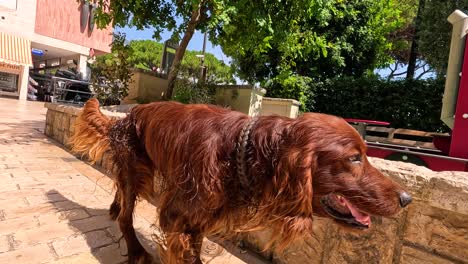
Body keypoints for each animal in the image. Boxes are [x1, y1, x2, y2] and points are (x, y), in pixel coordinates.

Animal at [71, 99, 412, 264]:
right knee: (127, 215)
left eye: (366, 154)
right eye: (354, 158)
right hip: (136, 171)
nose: (407, 199)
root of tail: (126, 116)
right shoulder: (178, 217)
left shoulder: (200, 219)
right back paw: (135, 248)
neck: (240, 150)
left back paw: (114, 209)